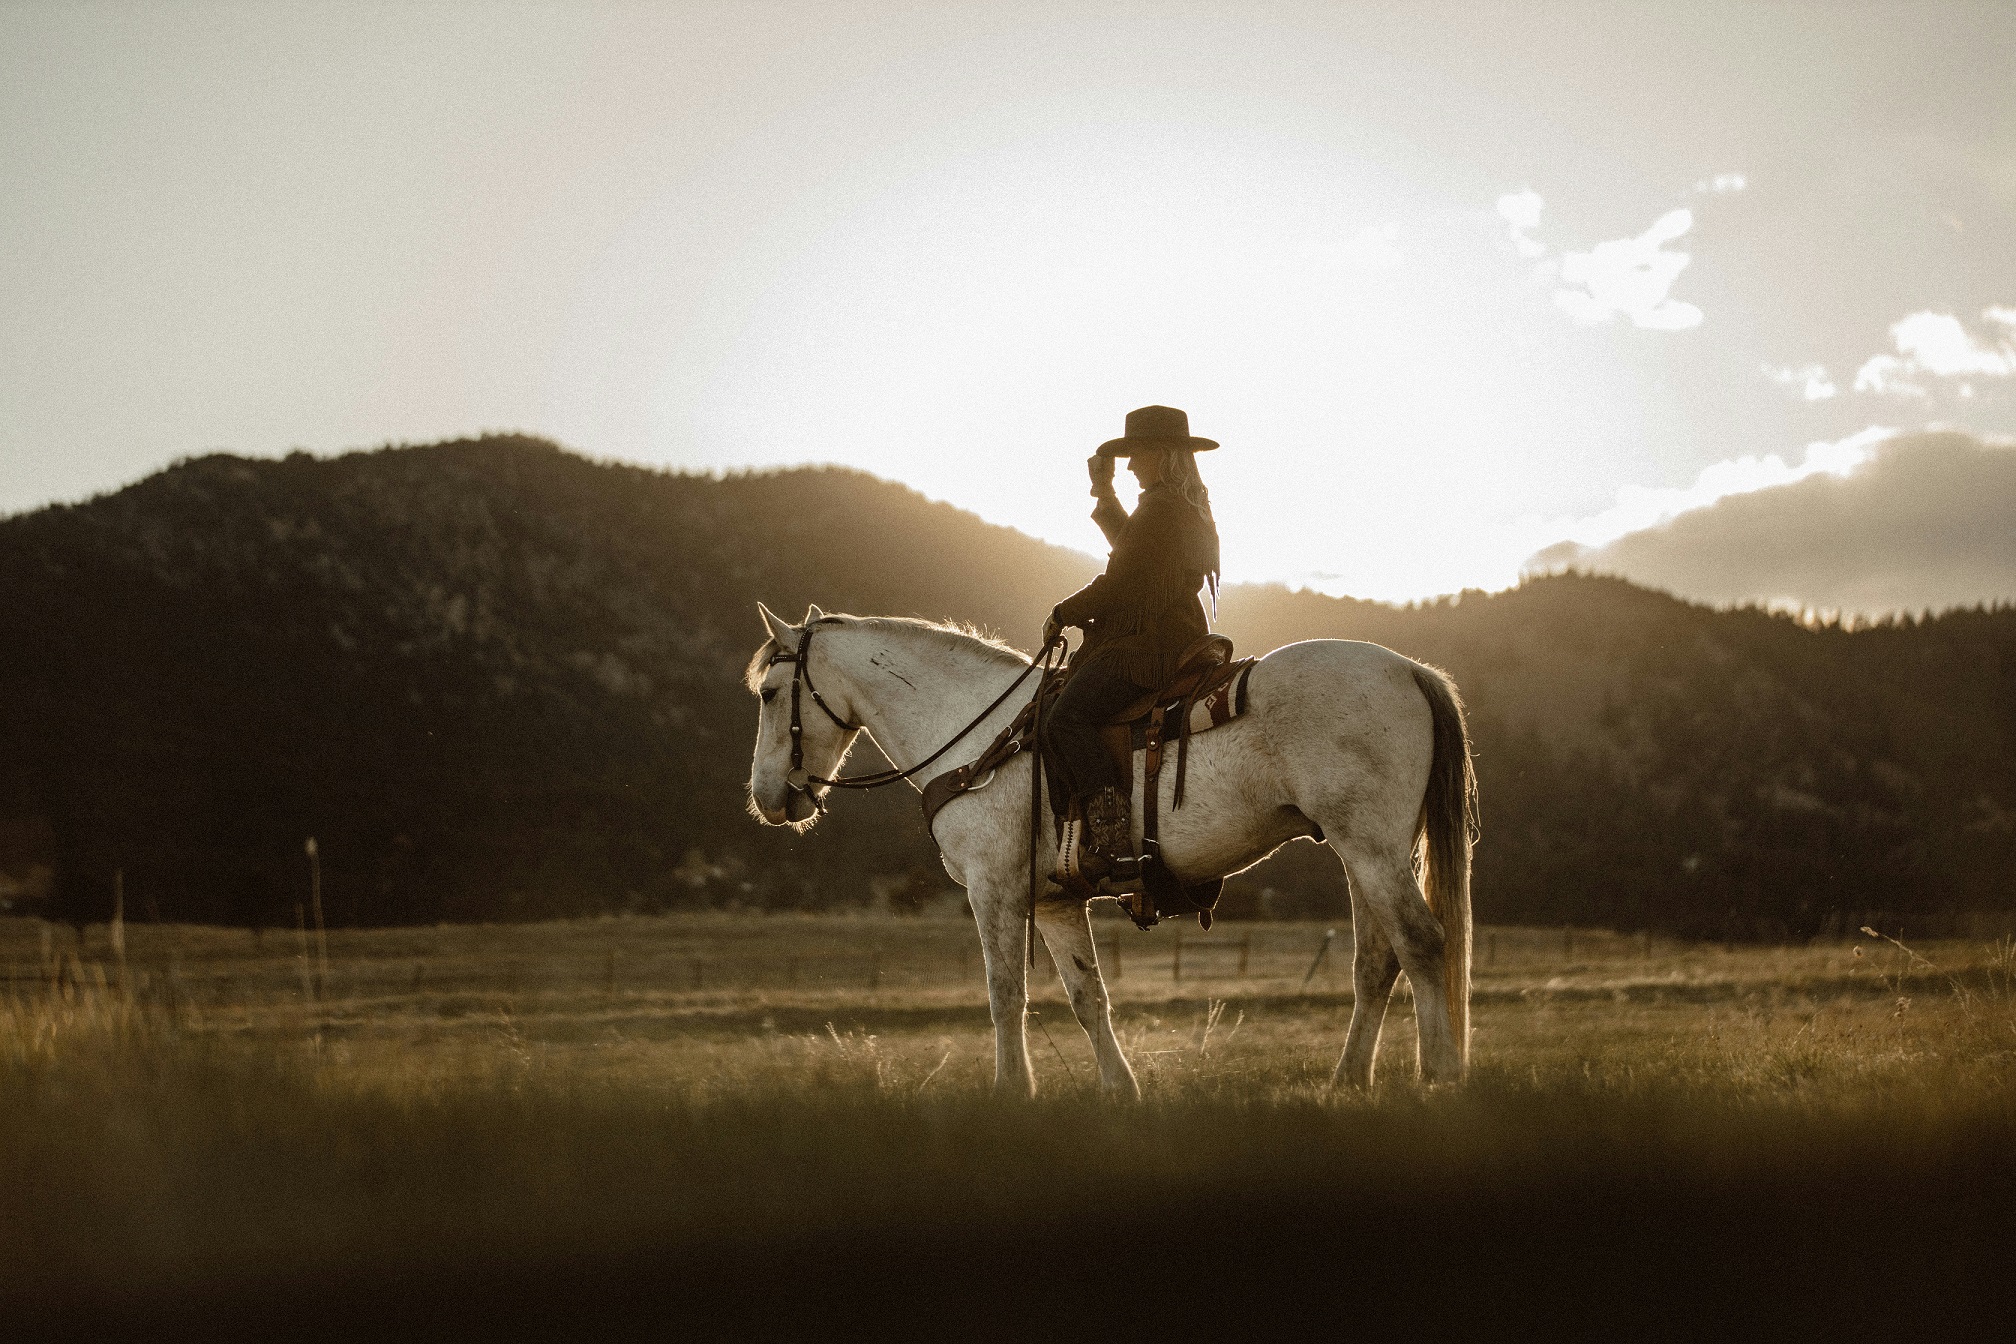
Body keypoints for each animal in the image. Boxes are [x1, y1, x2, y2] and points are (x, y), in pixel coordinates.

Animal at [749, 604, 1475, 1096]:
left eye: (767, 693)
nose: (766, 797)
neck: (978, 734)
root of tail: (1409, 669)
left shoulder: (994, 888)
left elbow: (1004, 991)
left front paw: (1011, 1093)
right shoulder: (1054, 902)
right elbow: (1085, 996)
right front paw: (1119, 1091)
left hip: (1372, 847)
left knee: (1421, 942)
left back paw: (1438, 1076)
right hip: (1363, 853)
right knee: (1376, 963)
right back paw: (1348, 1081)